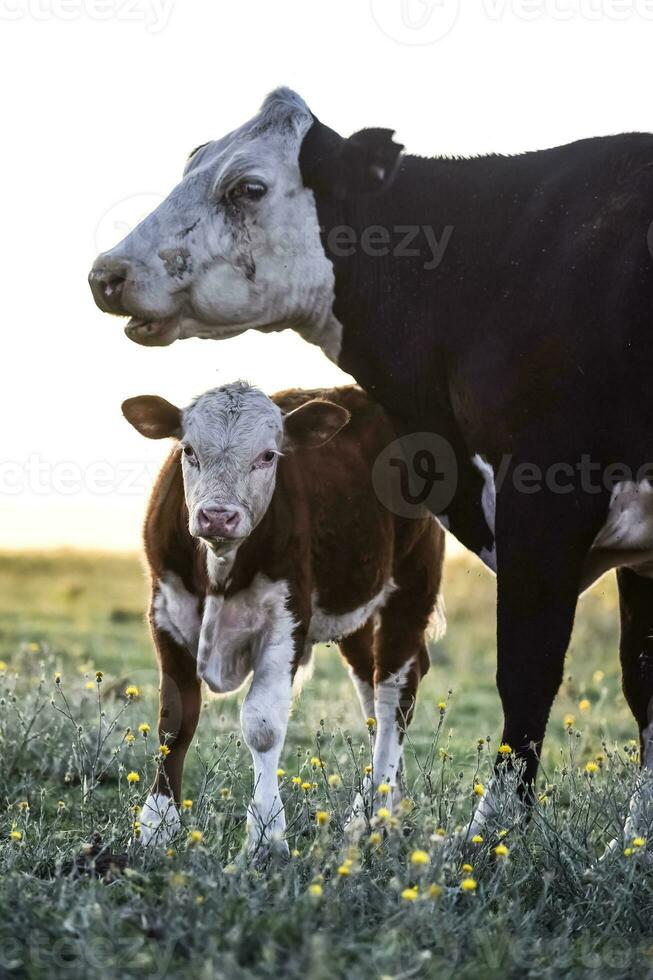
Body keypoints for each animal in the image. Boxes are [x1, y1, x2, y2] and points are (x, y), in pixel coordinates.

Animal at [122, 382, 444, 856]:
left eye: (268, 456)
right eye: (188, 450)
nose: (218, 515)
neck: (220, 568)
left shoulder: (287, 621)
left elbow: (263, 726)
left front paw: (266, 837)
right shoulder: (166, 612)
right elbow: (174, 720)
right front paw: (156, 825)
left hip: (411, 584)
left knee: (394, 695)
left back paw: (373, 813)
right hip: (354, 608)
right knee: (371, 688)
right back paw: (389, 801)